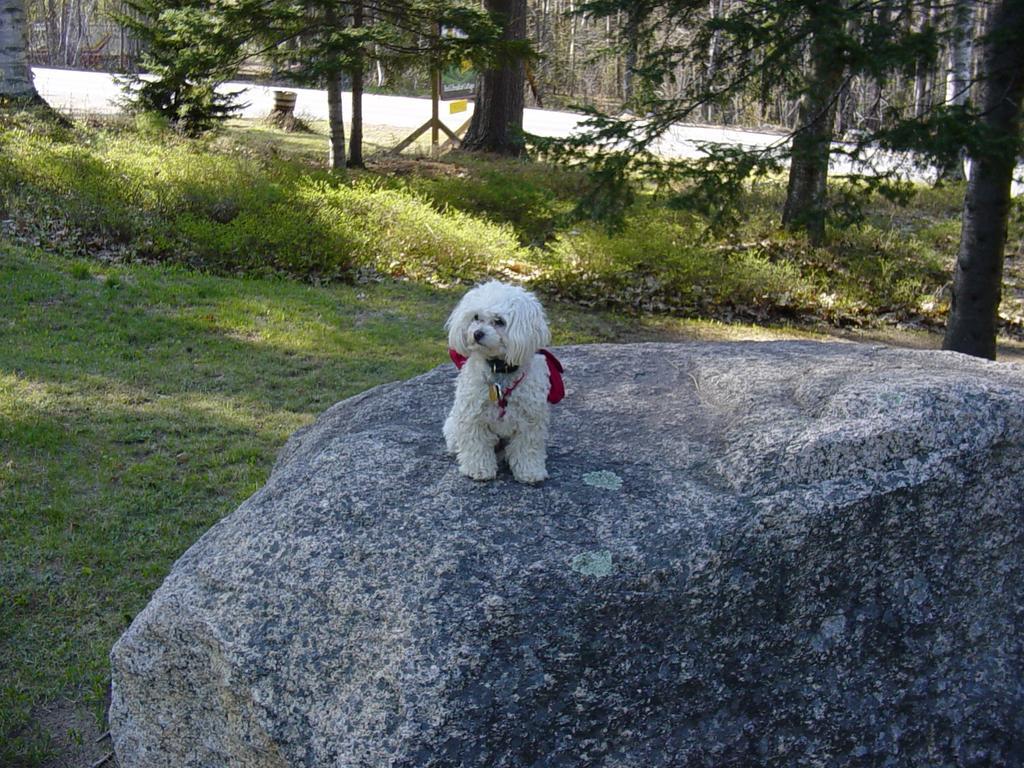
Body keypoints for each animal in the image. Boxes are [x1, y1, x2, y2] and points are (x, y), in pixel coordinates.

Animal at [444, 282, 565, 483]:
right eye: (476, 317)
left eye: (499, 321)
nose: (477, 333)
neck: (499, 370)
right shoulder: (472, 414)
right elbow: (476, 443)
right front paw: (478, 469)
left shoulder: (531, 418)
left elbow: (528, 447)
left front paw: (530, 471)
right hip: (453, 426)